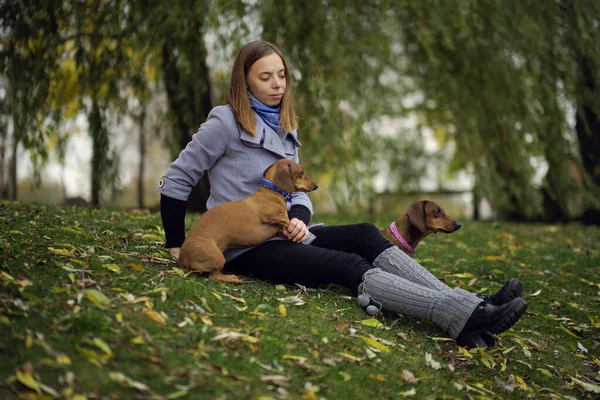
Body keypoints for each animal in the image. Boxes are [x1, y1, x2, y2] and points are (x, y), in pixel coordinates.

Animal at [178, 159, 318, 282]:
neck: (272, 193)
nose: (316, 185)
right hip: (217, 257)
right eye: (301, 172)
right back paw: (232, 278)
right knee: (213, 276)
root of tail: (182, 257)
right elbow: (286, 219)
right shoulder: (271, 216)